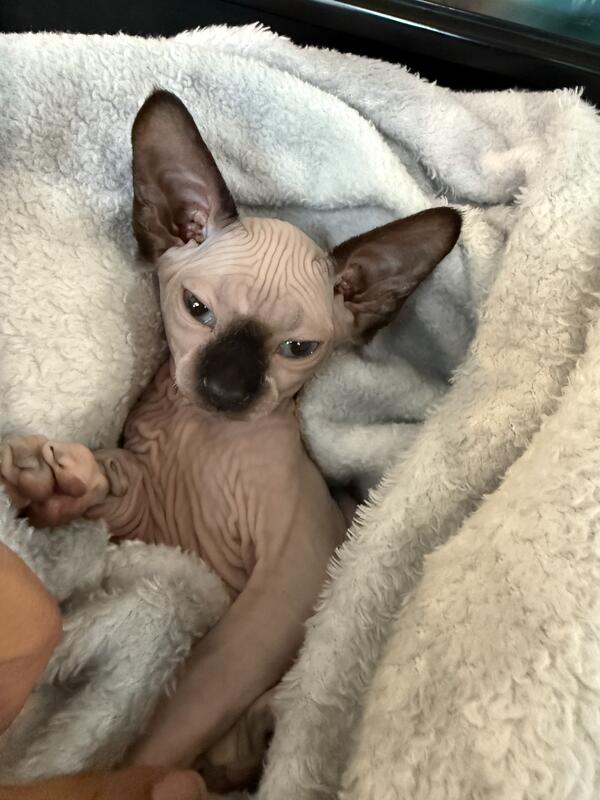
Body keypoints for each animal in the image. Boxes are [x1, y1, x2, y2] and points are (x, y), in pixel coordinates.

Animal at [0, 89, 461, 790]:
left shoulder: (288, 578)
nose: (225, 387)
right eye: (197, 309)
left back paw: (247, 745)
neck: (201, 439)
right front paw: (57, 486)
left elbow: (178, 717)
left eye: (298, 348)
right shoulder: (155, 522)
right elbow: (112, 490)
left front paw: (125, 774)